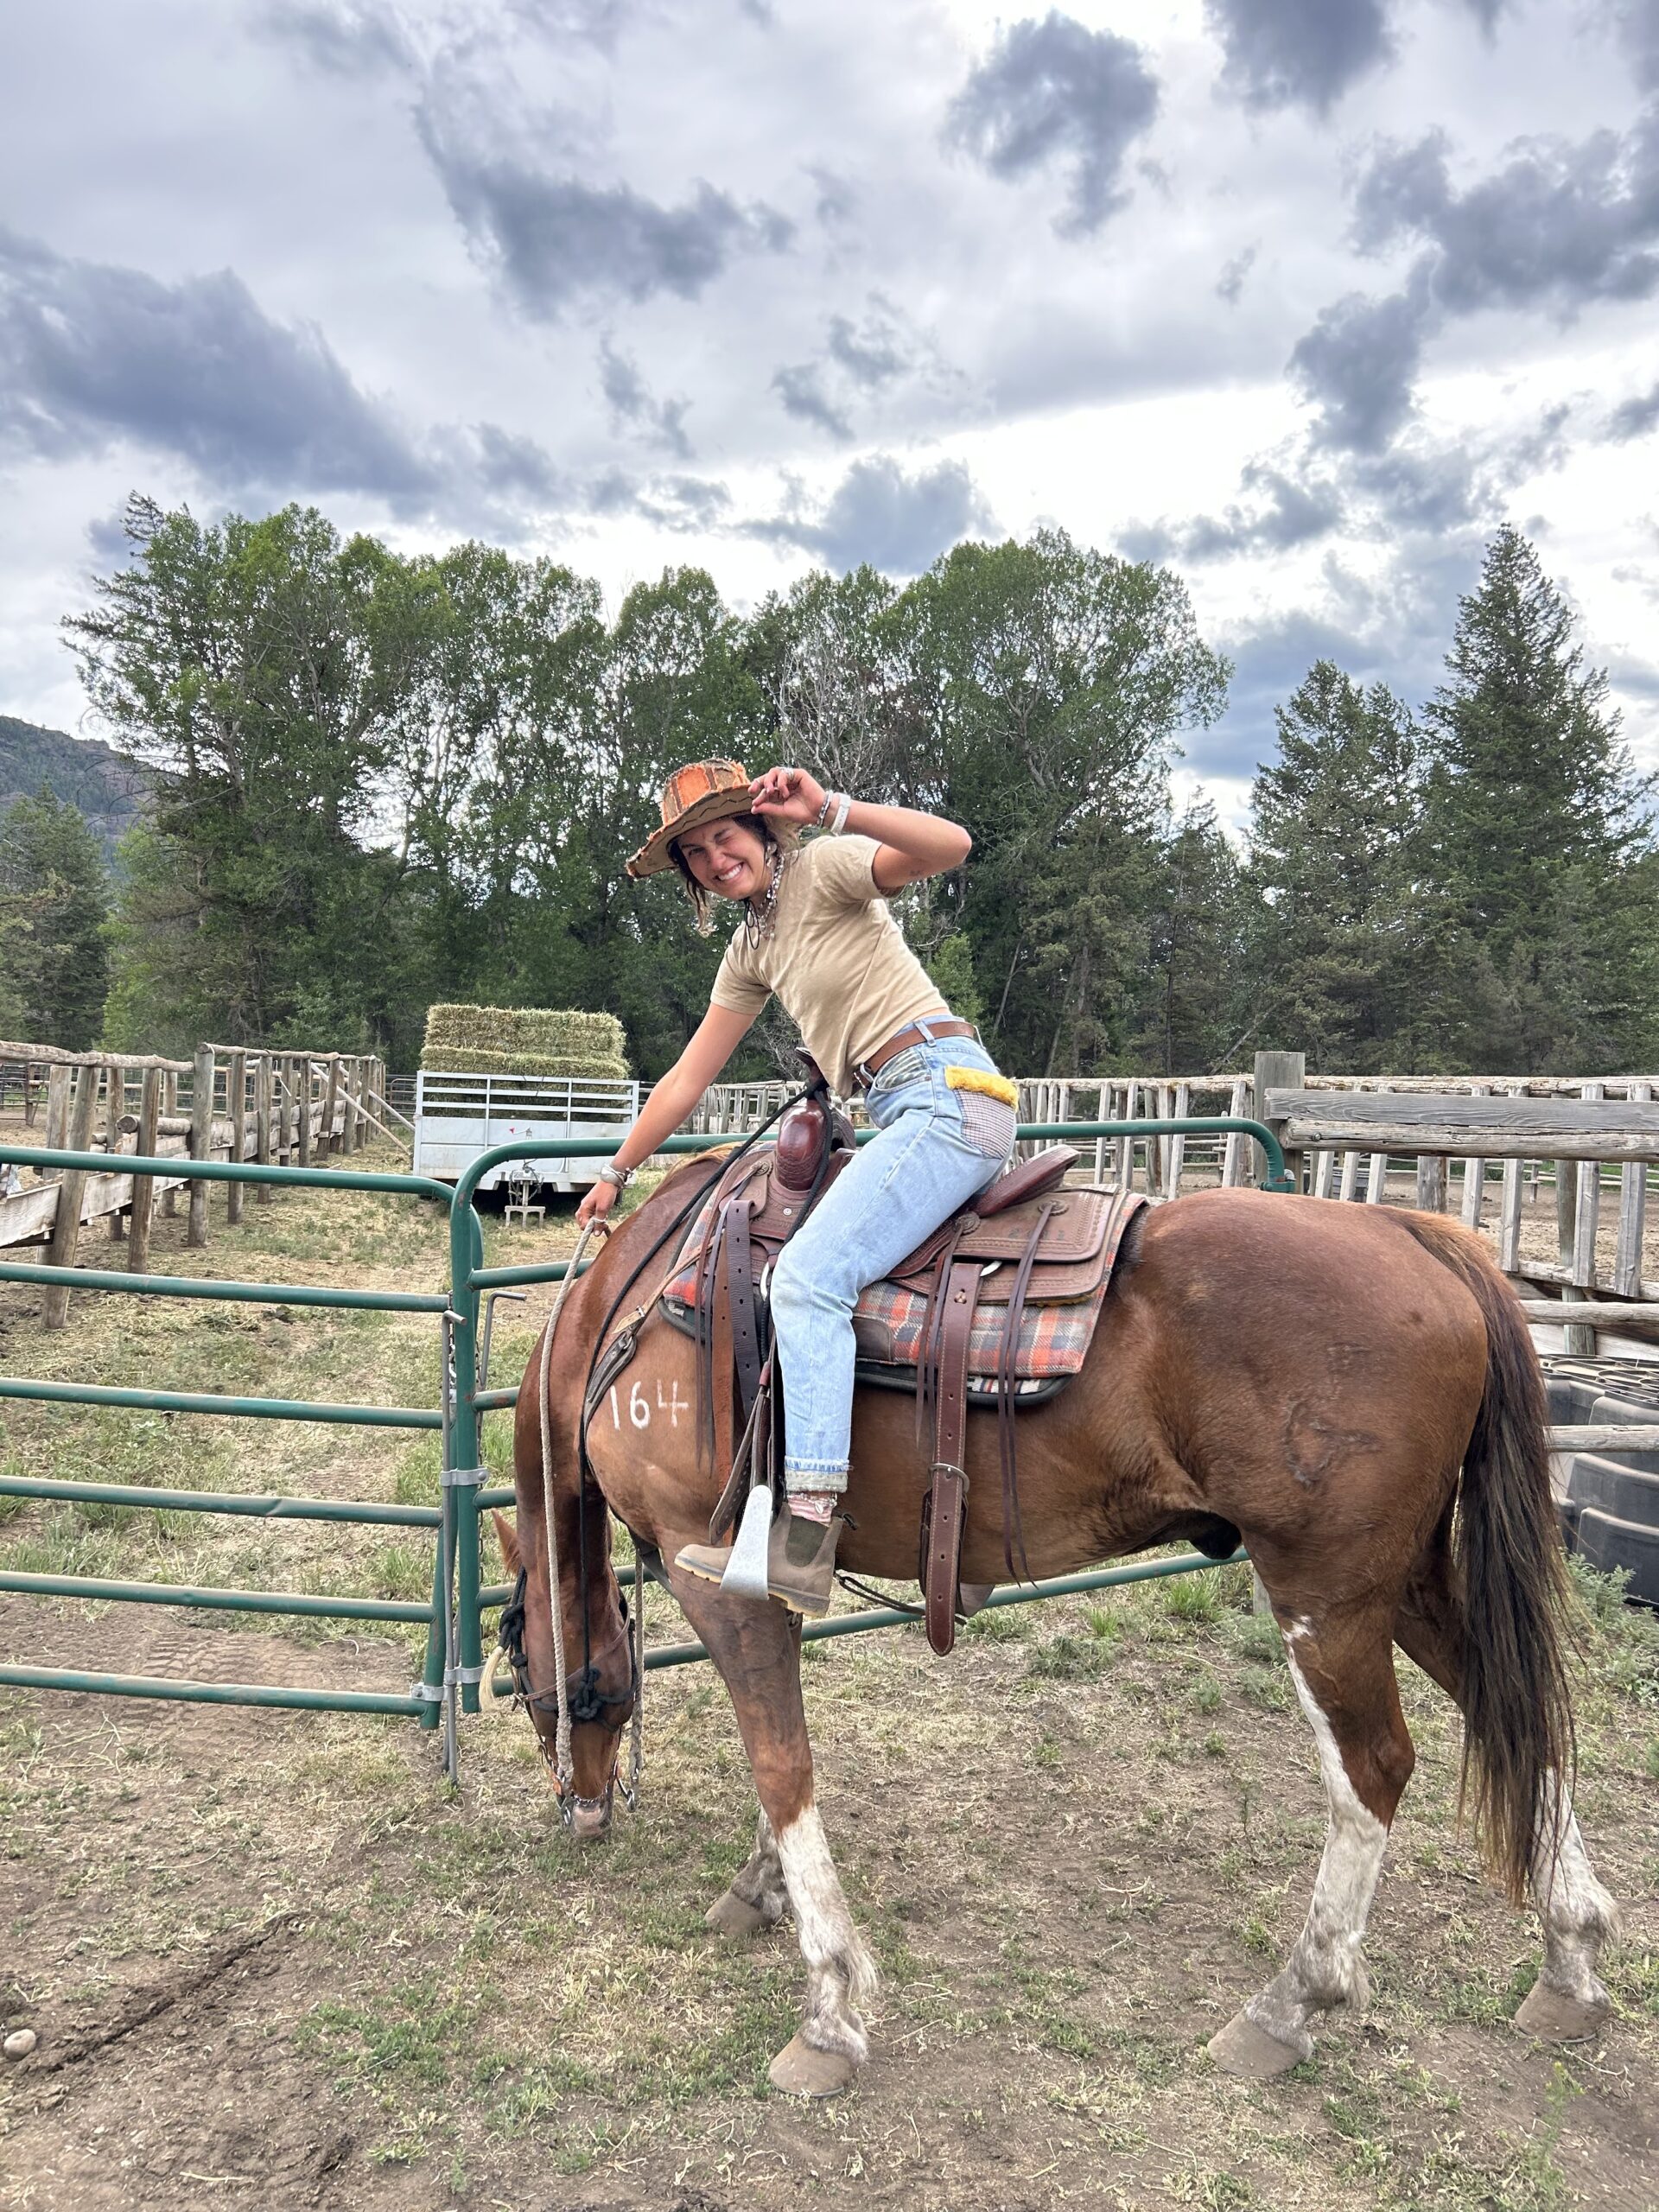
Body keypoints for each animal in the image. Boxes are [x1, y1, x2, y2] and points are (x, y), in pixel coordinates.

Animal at [499, 1167, 1618, 2096]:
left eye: (524, 1672)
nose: (583, 1808)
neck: (635, 1308)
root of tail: (1412, 1234)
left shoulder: (720, 1583)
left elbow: (782, 1763)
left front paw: (830, 2006)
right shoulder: (763, 1588)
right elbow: (782, 1753)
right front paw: (761, 1885)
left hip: (1327, 1593)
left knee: (1374, 1769)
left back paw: (1290, 2002)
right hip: (1408, 1578)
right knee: (1511, 1710)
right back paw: (1569, 1956)